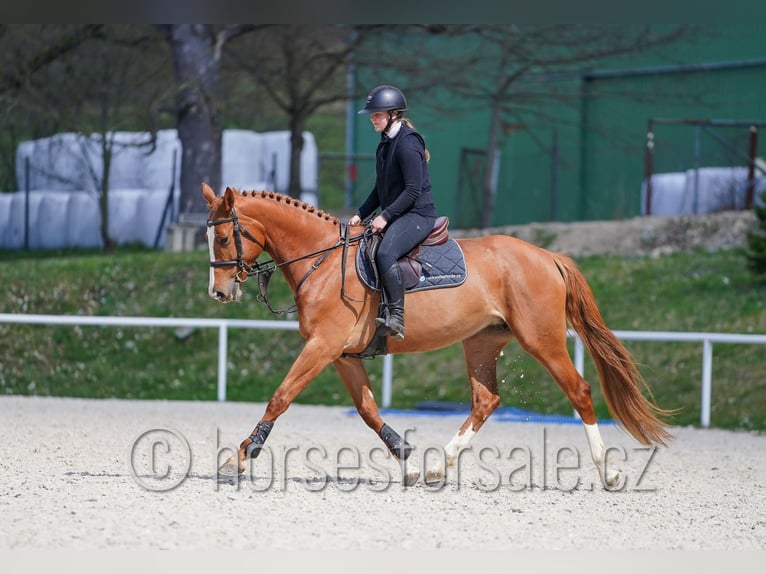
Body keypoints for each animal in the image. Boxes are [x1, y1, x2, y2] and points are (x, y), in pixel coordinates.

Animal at [203, 183, 672, 488]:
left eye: (224, 237)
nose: (219, 293)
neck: (323, 260)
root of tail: (547, 255)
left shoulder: (322, 347)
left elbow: (281, 396)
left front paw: (240, 457)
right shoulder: (342, 355)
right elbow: (368, 411)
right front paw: (408, 463)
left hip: (543, 340)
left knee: (579, 391)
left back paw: (608, 472)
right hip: (482, 342)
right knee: (486, 400)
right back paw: (438, 467)